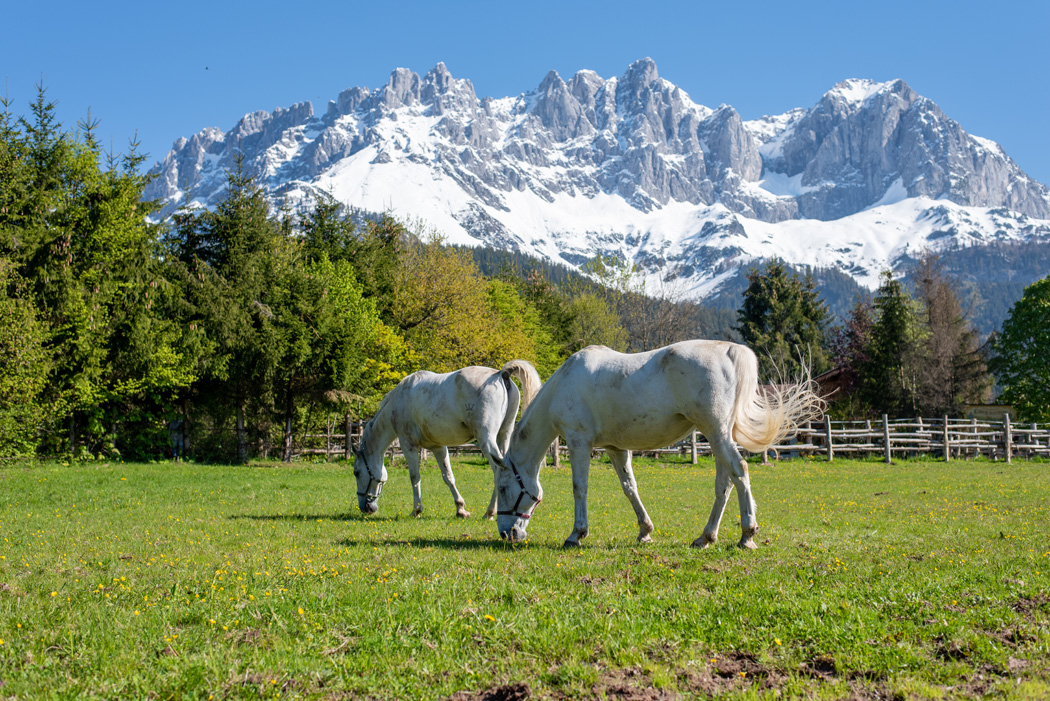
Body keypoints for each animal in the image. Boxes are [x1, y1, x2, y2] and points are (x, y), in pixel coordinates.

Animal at [352, 360, 541, 520]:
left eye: (356, 473)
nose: (366, 508)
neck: (399, 401)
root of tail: (501, 374)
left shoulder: (408, 446)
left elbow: (414, 477)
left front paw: (416, 510)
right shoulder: (438, 447)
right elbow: (448, 477)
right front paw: (461, 509)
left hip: (487, 441)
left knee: (498, 470)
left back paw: (490, 512)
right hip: (504, 435)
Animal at [491, 340, 818, 545]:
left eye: (504, 489)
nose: (507, 535)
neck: (564, 384)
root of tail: (729, 350)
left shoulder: (578, 441)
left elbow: (579, 487)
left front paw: (576, 534)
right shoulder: (615, 448)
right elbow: (629, 487)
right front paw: (644, 531)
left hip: (717, 433)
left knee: (739, 472)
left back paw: (747, 534)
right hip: (715, 436)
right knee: (724, 484)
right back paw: (705, 537)